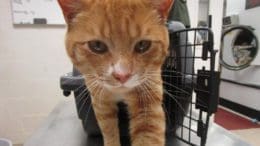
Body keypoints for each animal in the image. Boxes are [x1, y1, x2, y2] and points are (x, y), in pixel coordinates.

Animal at [58, 0, 174, 145]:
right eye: (97, 45)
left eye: (143, 44)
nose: (122, 75)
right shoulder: (101, 101)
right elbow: (108, 129)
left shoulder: (148, 101)